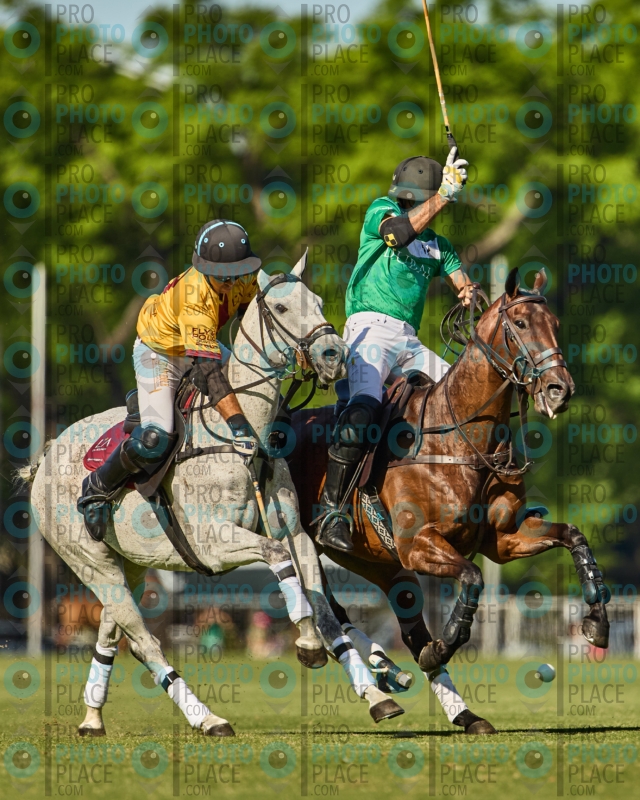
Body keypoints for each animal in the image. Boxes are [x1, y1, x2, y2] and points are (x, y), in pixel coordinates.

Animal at [22, 252, 404, 737]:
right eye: (281, 308)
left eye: (318, 301)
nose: (334, 355)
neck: (244, 436)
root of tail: (46, 456)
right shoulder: (214, 544)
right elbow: (277, 558)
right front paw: (308, 645)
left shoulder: (298, 534)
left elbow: (322, 605)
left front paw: (375, 693)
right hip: (90, 563)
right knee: (145, 641)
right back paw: (206, 717)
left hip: (129, 564)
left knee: (113, 632)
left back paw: (92, 717)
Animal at [288, 267, 610, 734]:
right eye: (521, 323)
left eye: (555, 324)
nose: (558, 389)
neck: (463, 440)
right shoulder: (418, 543)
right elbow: (473, 577)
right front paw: (446, 644)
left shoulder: (504, 539)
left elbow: (573, 535)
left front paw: (597, 623)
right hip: (309, 545)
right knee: (326, 609)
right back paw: (377, 676)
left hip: (378, 562)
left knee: (400, 623)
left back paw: (444, 702)